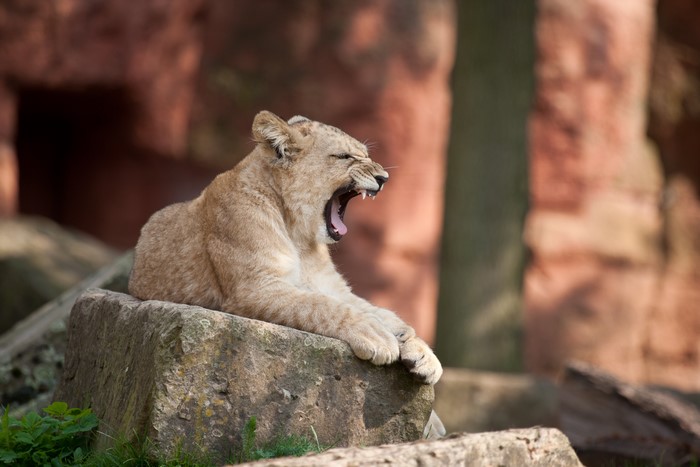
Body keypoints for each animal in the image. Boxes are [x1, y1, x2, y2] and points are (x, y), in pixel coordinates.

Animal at [129, 110, 442, 385]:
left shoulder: (331, 286)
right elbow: (322, 306)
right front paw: (376, 335)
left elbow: (373, 308)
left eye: (366, 155)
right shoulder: (255, 287)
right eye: (345, 157)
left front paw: (419, 348)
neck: (298, 233)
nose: (384, 178)